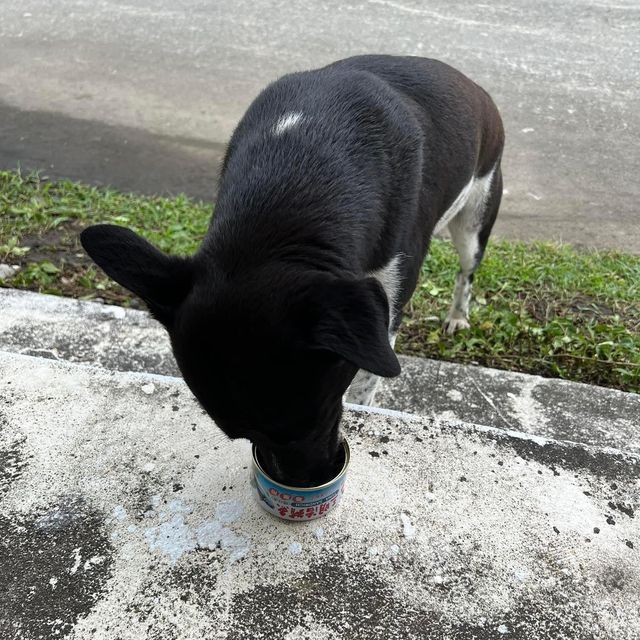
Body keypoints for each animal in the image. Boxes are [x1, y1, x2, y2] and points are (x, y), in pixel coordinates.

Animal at [82, 56, 504, 484]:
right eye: (241, 435)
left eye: (310, 423)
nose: (308, 481)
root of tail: (472, 86)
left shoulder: (388, 299)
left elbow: (370, 377)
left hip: (475, 216)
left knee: (466, 271)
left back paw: (458, 315)